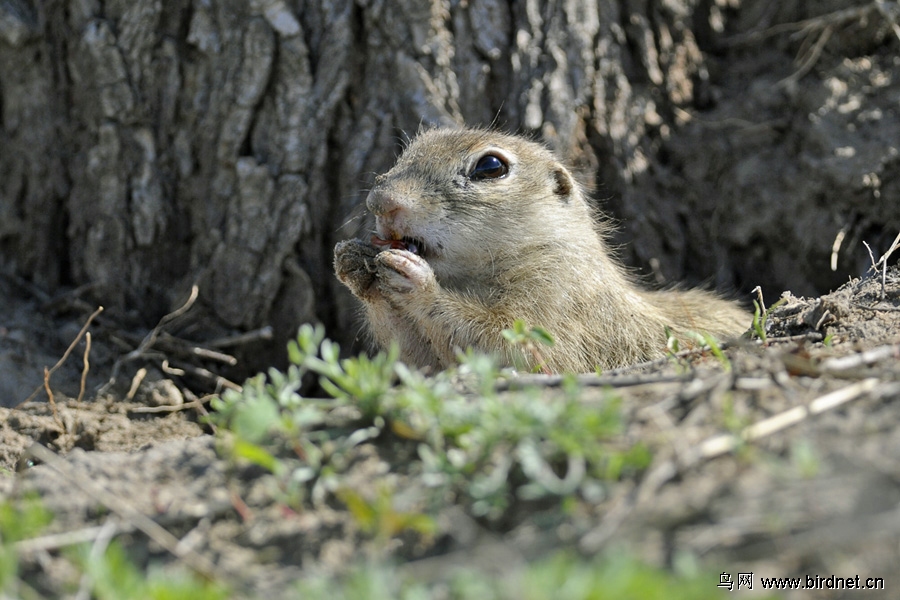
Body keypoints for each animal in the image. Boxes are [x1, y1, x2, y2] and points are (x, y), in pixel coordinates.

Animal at [334, 129, 748, 372]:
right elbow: (418, 361)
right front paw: (353, 264)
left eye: (490, 166)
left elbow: (520, 347)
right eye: (407, 152)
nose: (380, 202)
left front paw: (416, 280)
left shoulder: (560, 296)